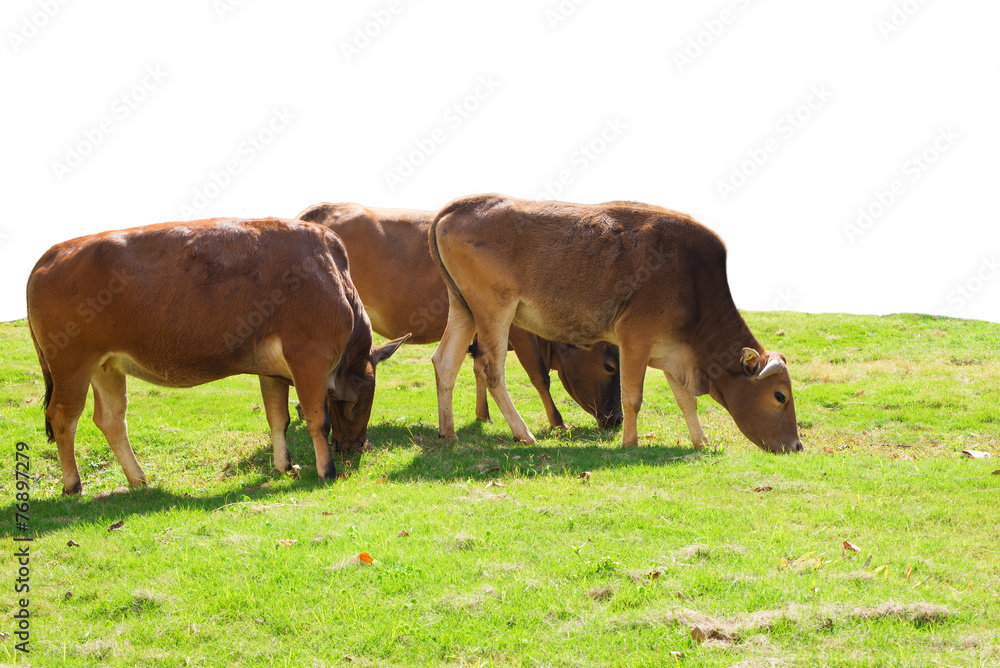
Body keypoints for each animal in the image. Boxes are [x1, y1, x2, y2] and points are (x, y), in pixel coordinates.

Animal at [26, 218, 406, 495]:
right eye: (363, 399)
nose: (355, 447)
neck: (335, 278)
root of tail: (55, 251)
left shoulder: (272, 370)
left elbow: (278, 418)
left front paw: (285, 466)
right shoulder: (309, 356)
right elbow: (317, 418)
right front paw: (326, 470)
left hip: (106, 366)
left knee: (111, 419)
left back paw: (139, 480)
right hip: (71, 364)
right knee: (63, 418)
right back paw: (73, 485)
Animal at [296, 202, 623, 430]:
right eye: (609, 366)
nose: (617, 419)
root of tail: (325, 208)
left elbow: (479, 367)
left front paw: (483, 416)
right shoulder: (517, 328)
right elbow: (539, 376)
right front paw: (558, 421)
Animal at [428, 194, 803, 454]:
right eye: (780, 396)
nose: (797, 446)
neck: (693, 281)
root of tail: (462, 204)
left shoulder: (672, 352)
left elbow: (686, 401)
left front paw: (700, 441)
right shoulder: (635, 339)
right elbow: (632, 396)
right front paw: (630, 441)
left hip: (463, 309)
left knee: (445, 362)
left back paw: (448, 432)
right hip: (494, 311)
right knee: (491, 369)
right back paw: (524, 434)